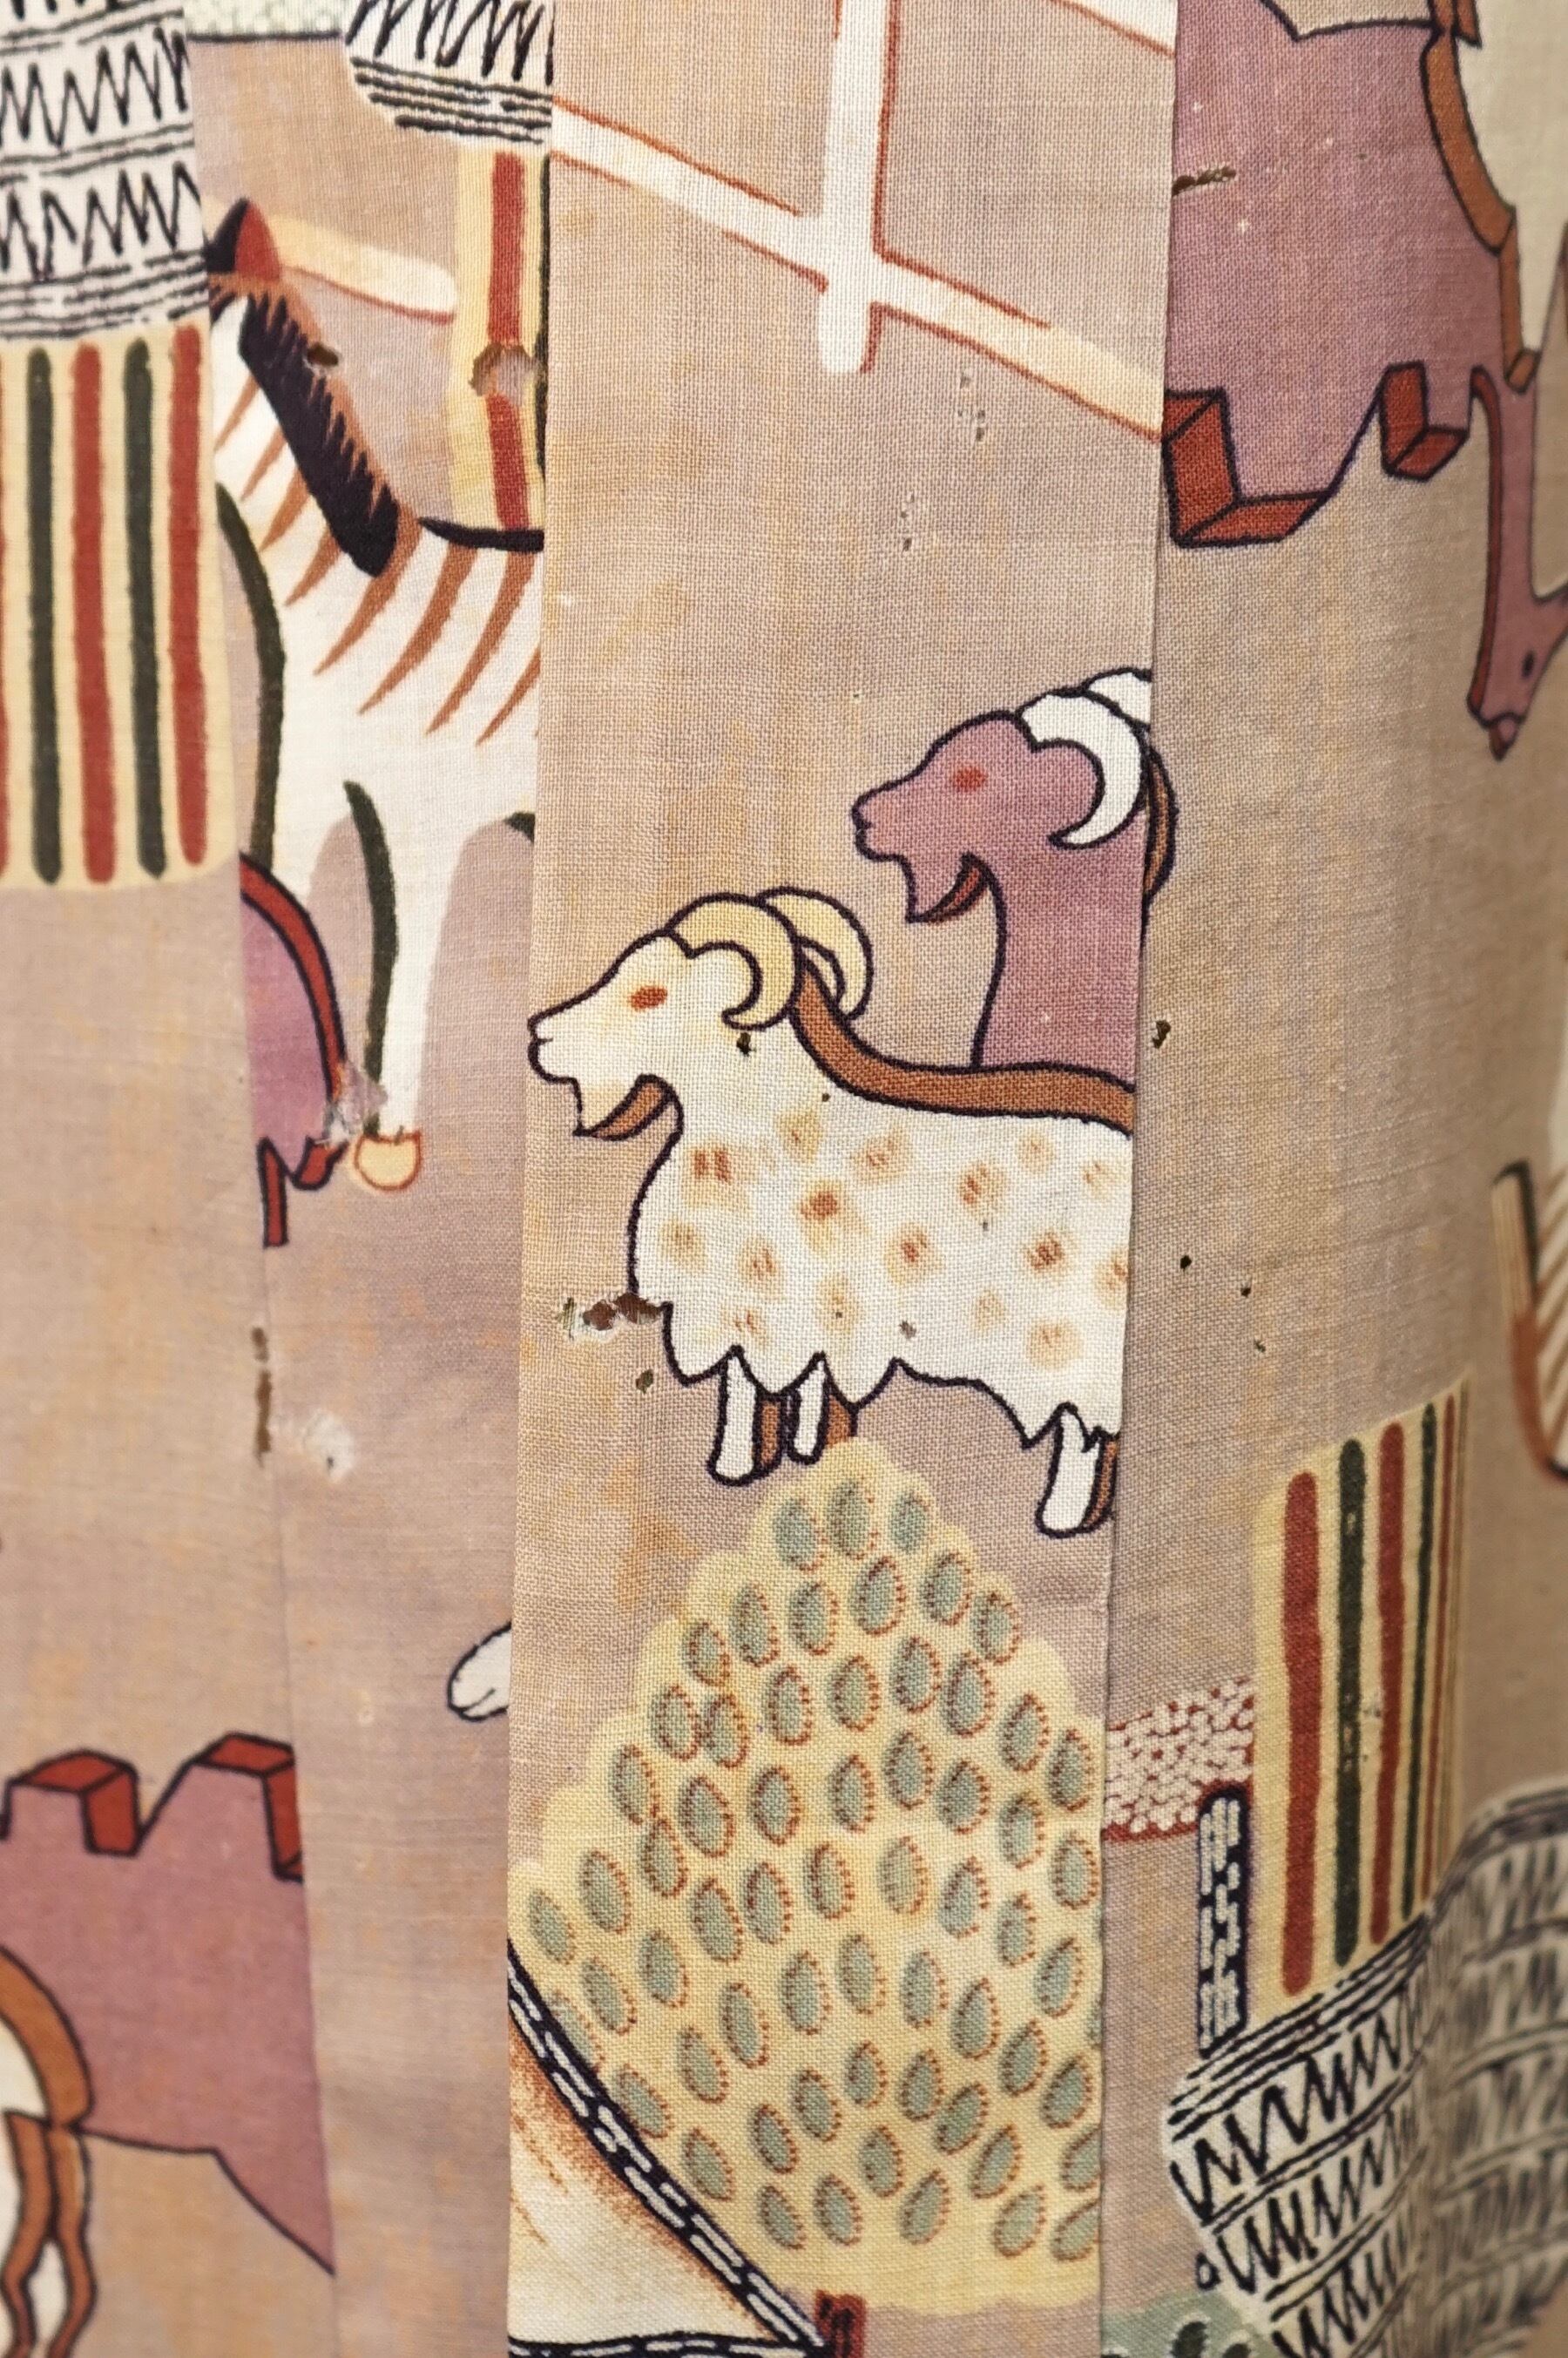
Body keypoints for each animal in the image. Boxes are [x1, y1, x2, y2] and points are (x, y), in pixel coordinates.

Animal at [529, 889, 1135, 1534]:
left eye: (651, 993)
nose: (541, 1036)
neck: (770, 1121)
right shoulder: (758, 1312)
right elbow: (755, 1392)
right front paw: (754, 1467)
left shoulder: (824, 1316)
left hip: (1070, 1340)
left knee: (1085, 1433)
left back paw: (1061, 1518)